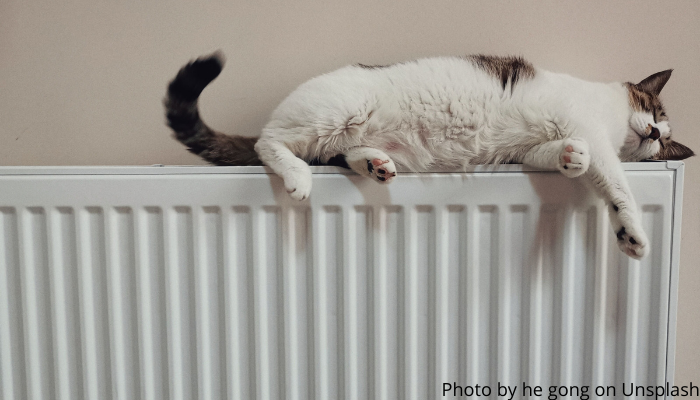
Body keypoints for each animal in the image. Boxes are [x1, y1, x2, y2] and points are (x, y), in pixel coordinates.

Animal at [164, 52, 696, 260]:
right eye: (654, 111)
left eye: (662, 143)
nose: (653, 131)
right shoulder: (594, 132)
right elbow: (616, 183)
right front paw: (631, 233)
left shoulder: (532, 148)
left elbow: (566, 155)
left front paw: (570, 159)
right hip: (335, 112)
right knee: (268, 143)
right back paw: (297, 176)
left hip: (341, 135)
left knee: (341, 153)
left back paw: (375, 164)